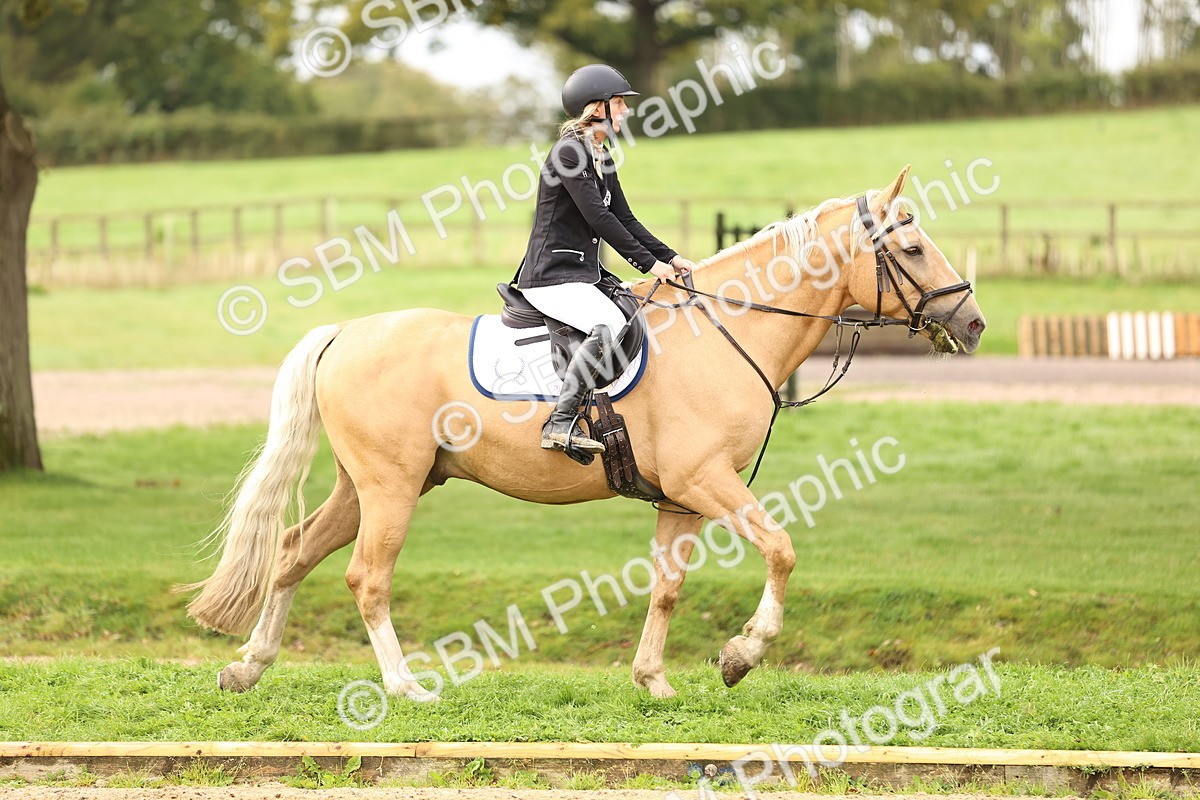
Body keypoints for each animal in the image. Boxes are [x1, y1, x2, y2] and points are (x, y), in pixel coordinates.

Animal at [181, 166, 986, 701]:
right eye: (913, 250)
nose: (974, 323)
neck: (726, 331)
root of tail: (347, 331)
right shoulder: (705, 480)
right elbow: (782, 549)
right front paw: (740, 656)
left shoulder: (681, 499)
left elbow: (667, 589)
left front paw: (653, 680)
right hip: (391, 488)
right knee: (366, 578)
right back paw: (405, 686)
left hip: (372, 485)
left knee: (292, 553)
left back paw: (248, 667)